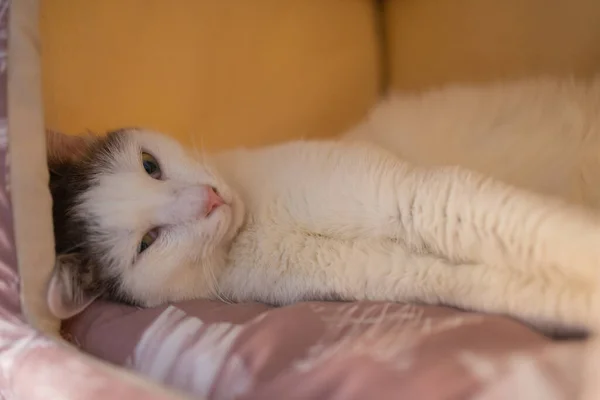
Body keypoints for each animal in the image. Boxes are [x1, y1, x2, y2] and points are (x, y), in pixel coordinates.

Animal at [45, 128, 600, 334]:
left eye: (149, 165)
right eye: (147, 243)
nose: (210, 199)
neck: (254, 224)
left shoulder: (407, 196)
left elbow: (535, 226)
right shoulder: (387, 271)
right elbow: (489, 281)